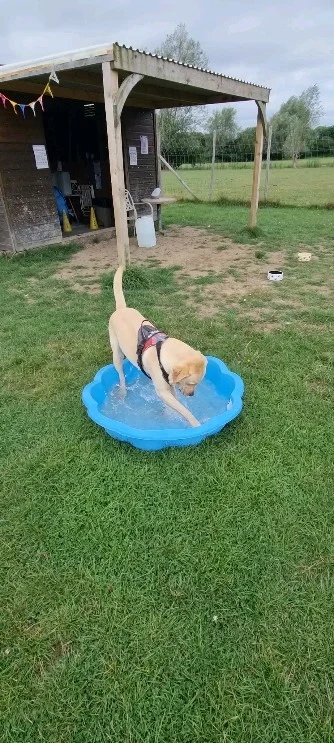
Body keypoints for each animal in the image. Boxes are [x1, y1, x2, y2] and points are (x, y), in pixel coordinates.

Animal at [109, 268, 206, 430]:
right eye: (192, 383)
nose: (191, 395)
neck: (163, 353)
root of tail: (121, 309)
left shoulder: (170, 385)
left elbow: (176, 404)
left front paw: (169, 414)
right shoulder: (162, 391)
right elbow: (183, 410)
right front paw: (196, 424)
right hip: (116, 353)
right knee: (121, 376)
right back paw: (122, 392)